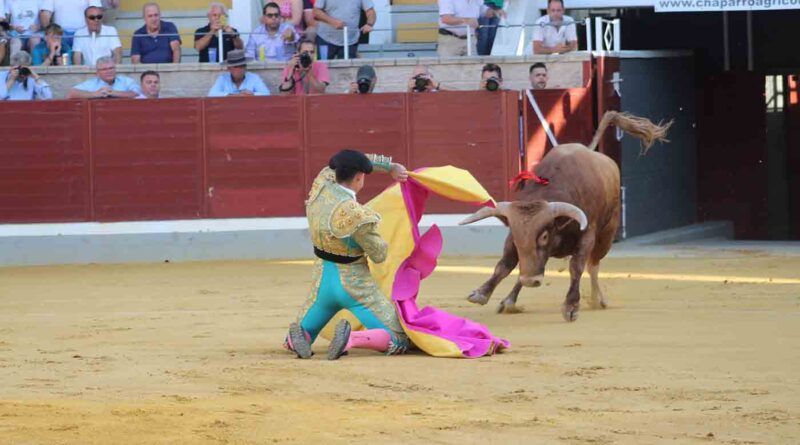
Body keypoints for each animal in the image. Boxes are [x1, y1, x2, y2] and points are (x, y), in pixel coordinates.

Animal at [456, 109, 668, 320]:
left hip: (607, 233)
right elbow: (506, 264)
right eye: (516, 237)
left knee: (593, 264)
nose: (531, 281)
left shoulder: (587, 235)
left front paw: (571, 306)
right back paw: (509, 300)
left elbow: (577, 267)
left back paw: (597, 299)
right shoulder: (515, 241)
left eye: (544, 236)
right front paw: (482, 293)